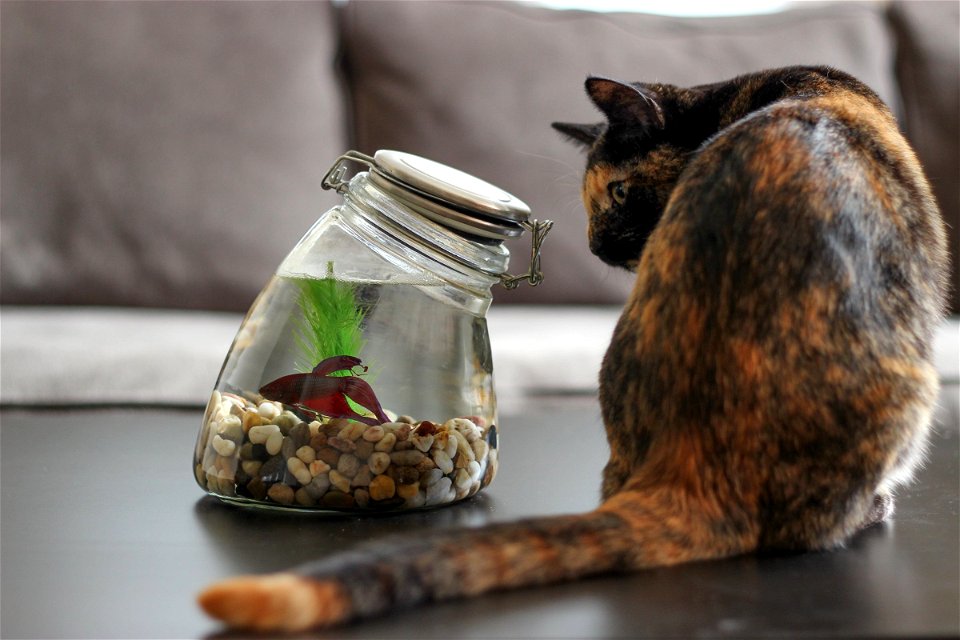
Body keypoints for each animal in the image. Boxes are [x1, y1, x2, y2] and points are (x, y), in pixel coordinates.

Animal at [199, 65, 948, 632]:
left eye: (620, 191)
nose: (595, 248)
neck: (771, 90)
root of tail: (692, 467)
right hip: (915, 389)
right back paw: (875, 509)